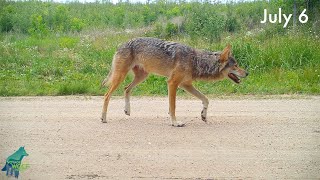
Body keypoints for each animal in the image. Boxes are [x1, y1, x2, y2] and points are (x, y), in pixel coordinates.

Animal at [101, 37, 249, 126]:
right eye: (235, 66)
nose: (247, 73)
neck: (195, 60)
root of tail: (121, 44)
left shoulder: (186, 84)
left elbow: (206, 99)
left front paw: (204, 116)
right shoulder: (172, 83)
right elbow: (173, 106)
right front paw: (175, 122)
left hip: (142, 77)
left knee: (126, 89)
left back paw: (127, 110)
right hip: (121, 77)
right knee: (106, 96)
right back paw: (103, 118)